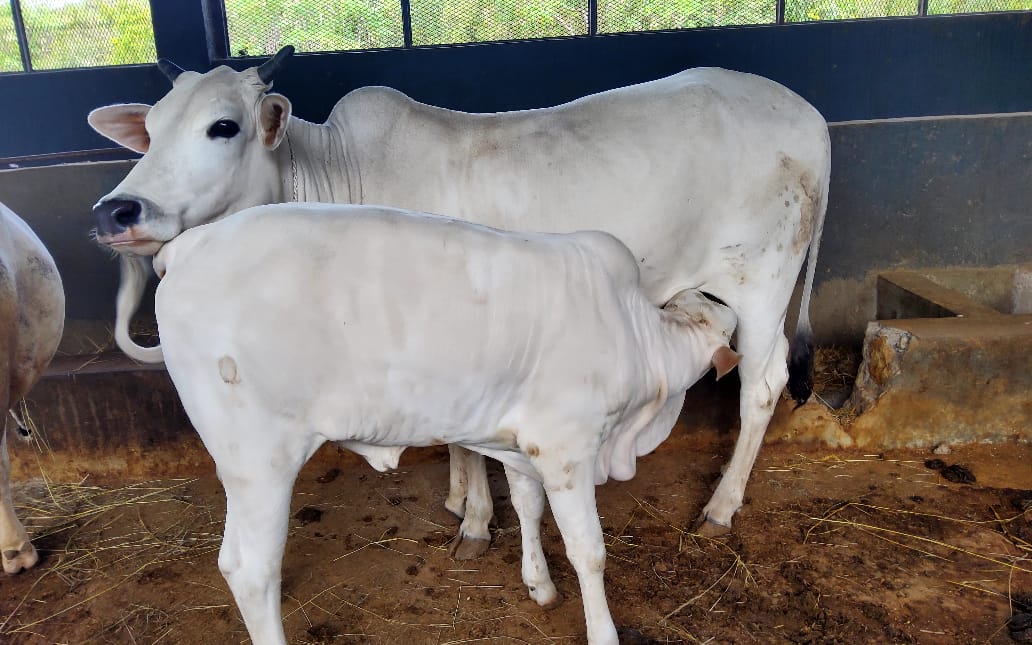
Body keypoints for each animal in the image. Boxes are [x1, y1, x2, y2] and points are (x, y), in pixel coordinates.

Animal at [88, 48, 830, 554]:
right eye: (152, 127)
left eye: (223, 126)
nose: (116, 209)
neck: (335, 175)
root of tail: (810, 113)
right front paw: (458, 500)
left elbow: (461, 436)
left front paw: (474, 518)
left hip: (764, 279)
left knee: (764, 383)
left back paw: (721, 506)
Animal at [151, 201, 741, 645]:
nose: (720, 294)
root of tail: (191, 243)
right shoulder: (567, 448)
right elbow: (589, 552)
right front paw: (603, 631)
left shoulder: (523, 443)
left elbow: (527, 507)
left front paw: (539, 585)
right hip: (260, 462)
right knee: (251, 570)